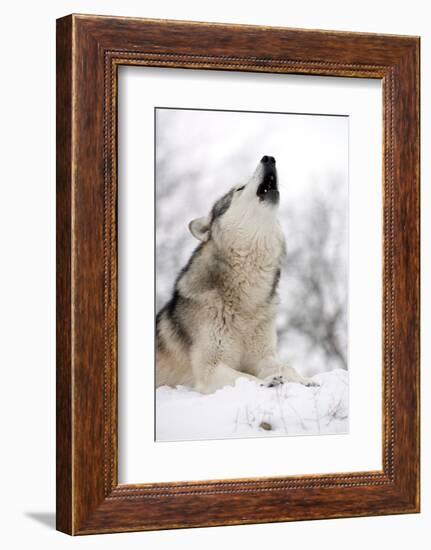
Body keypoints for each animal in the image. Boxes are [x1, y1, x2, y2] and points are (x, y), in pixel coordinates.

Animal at [156, 156, 318, 396]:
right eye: (239, 189)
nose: (268, 158)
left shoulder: (263, 357)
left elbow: (287, 367)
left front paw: (305, 381)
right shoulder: (210, 368)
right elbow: (245, 376)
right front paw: (268, 382)